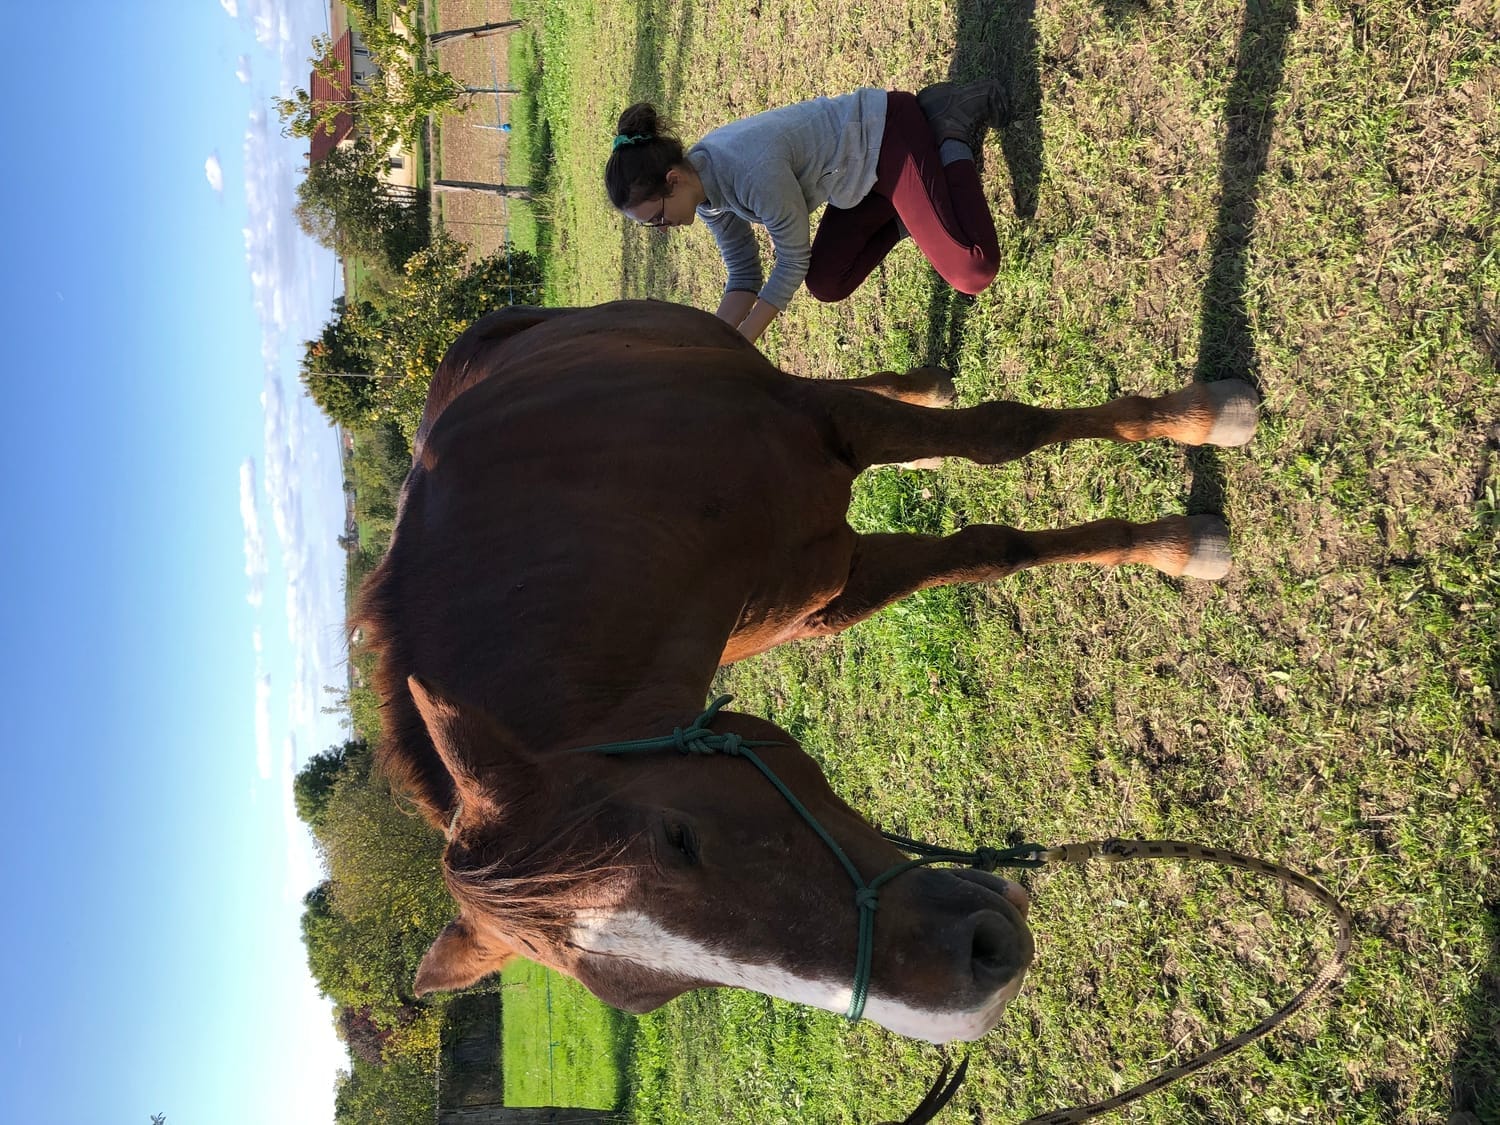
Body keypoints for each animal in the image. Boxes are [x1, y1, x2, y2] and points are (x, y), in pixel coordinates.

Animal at [353, 299, 1258, 1044]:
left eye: (679, 837)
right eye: (656, 992)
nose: (973, 984)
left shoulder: (825, 423)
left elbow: (1004, 438)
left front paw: (1193, 470)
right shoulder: (833, 587)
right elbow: (987, 550)